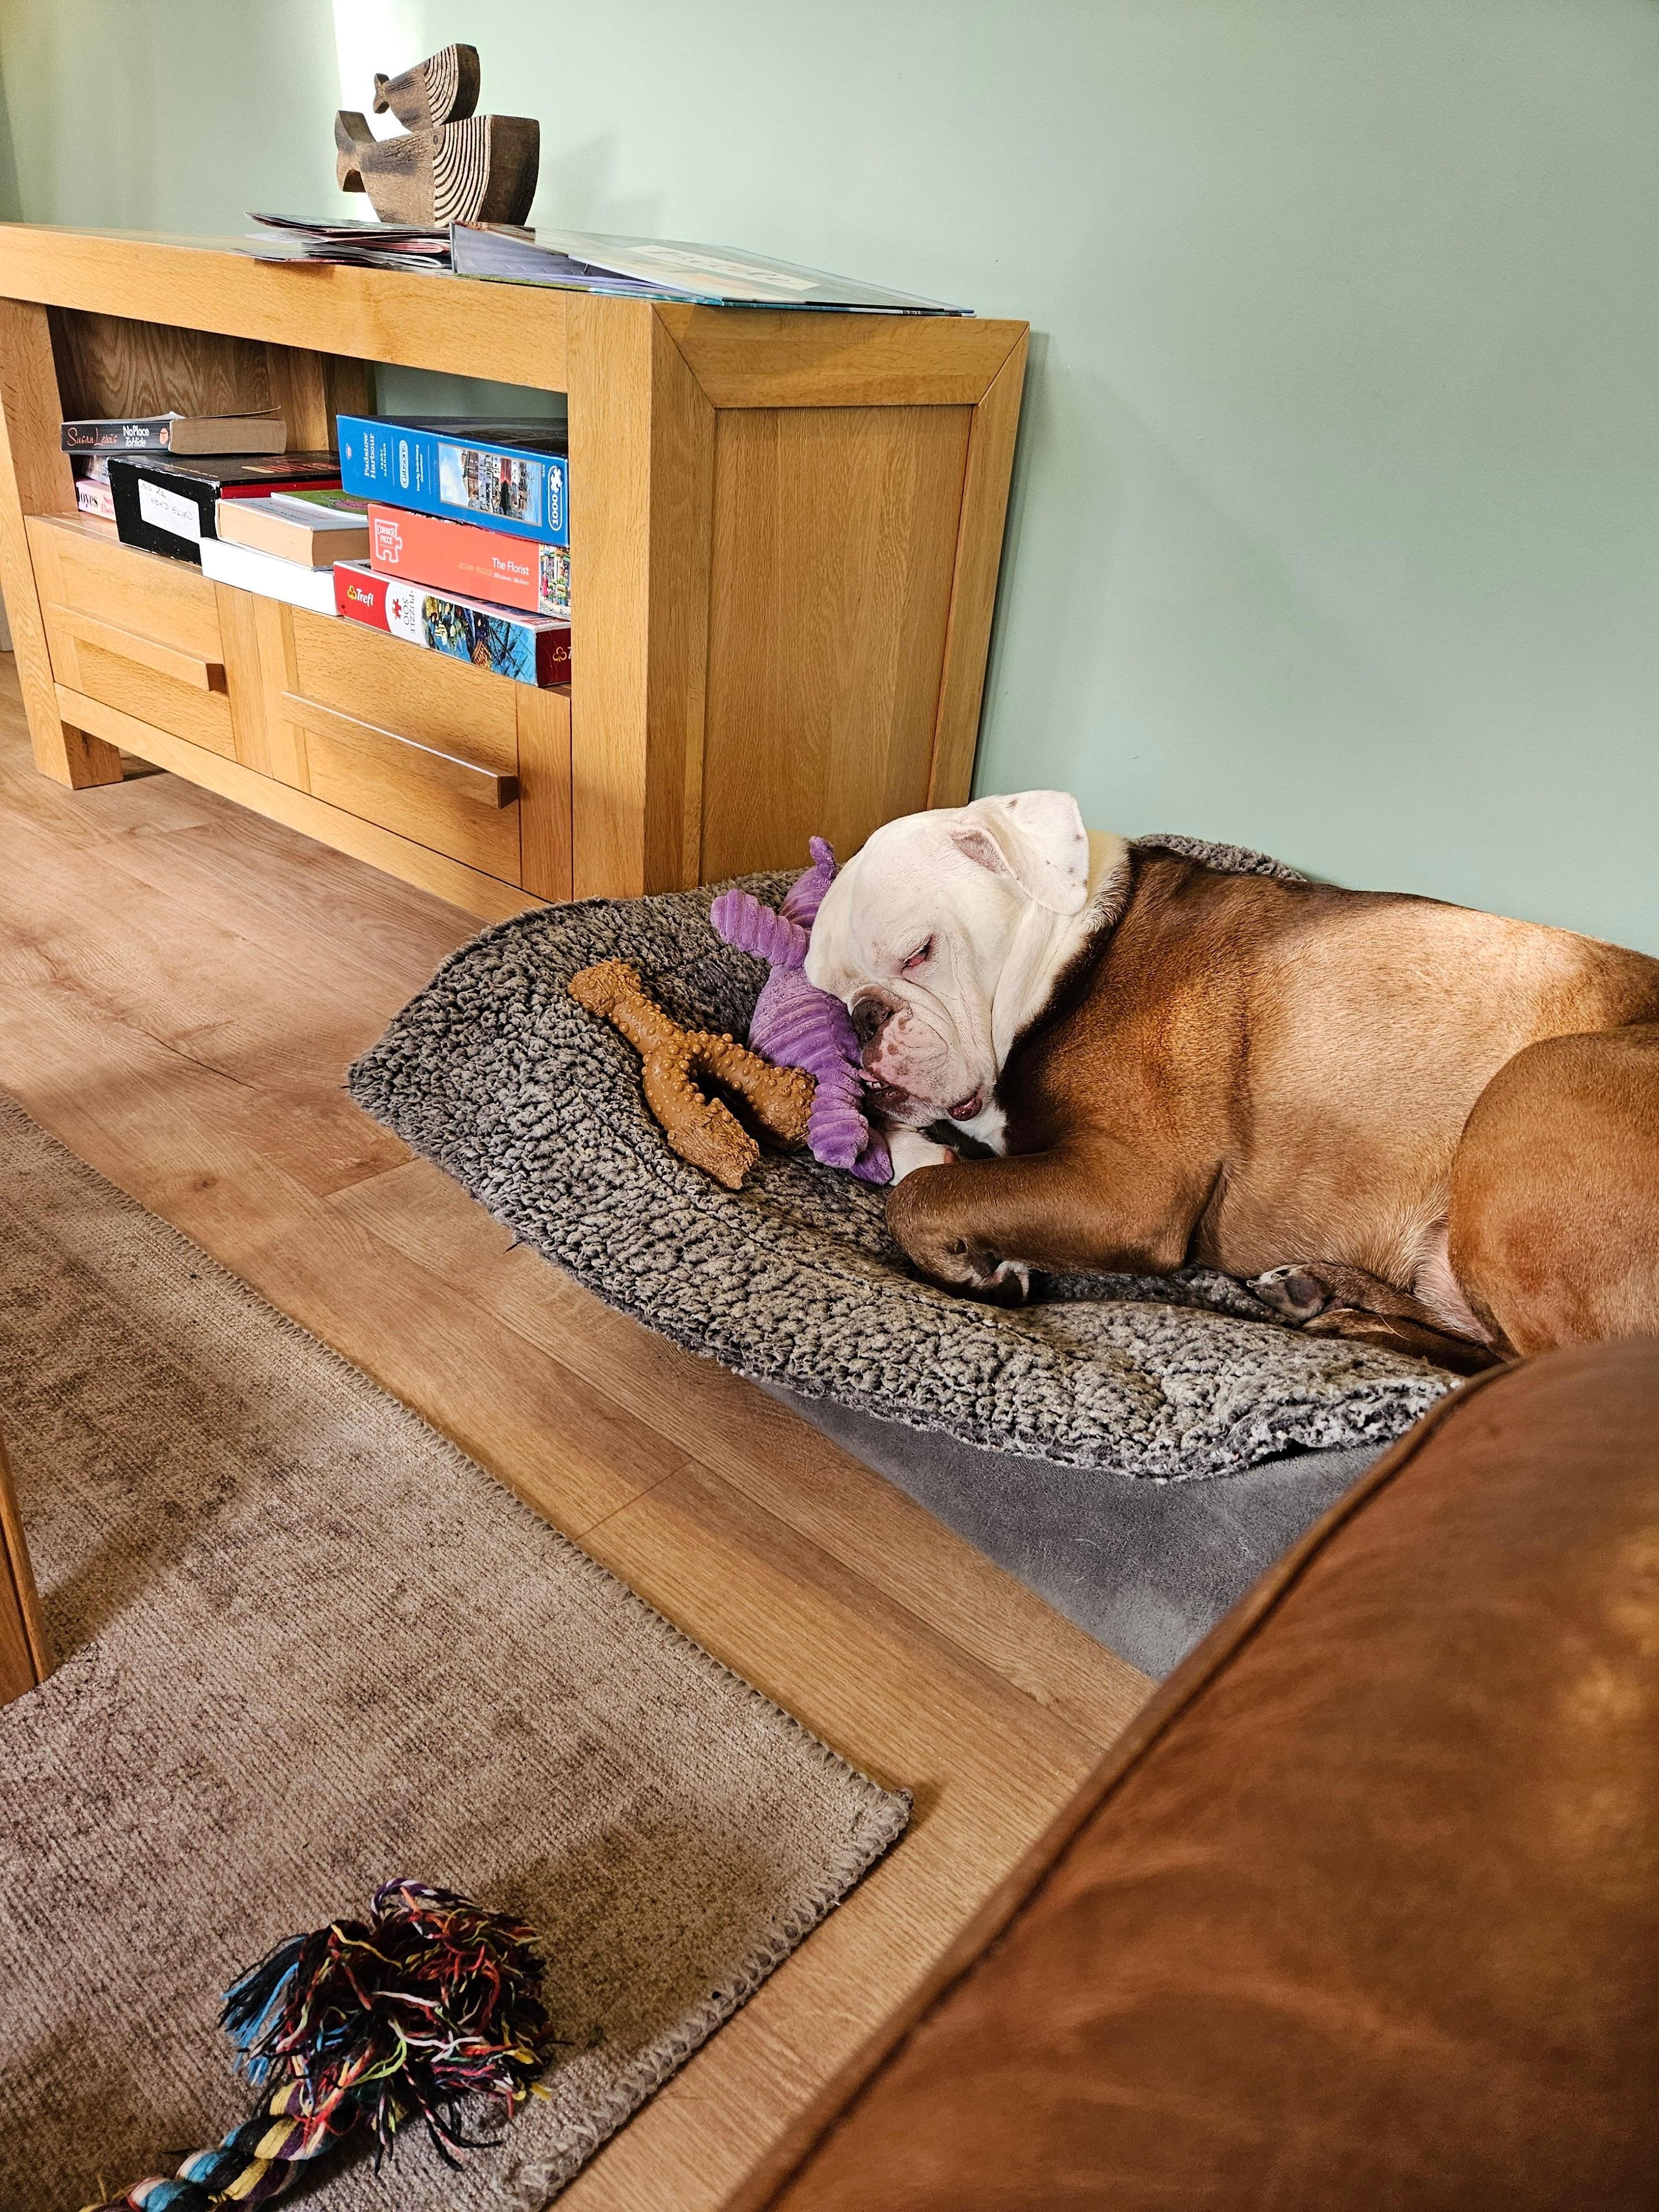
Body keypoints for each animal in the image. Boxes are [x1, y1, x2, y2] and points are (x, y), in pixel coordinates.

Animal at [805, 791, 1659, 1371]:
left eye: (919, 951)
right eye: (823, 988)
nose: (860, 1020)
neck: (1062, 958)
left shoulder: (1130, 1187)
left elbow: (921, 1199)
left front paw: (976, 1266)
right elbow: (923, 1165)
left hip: (1531, 1087)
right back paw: (1321, 1292)